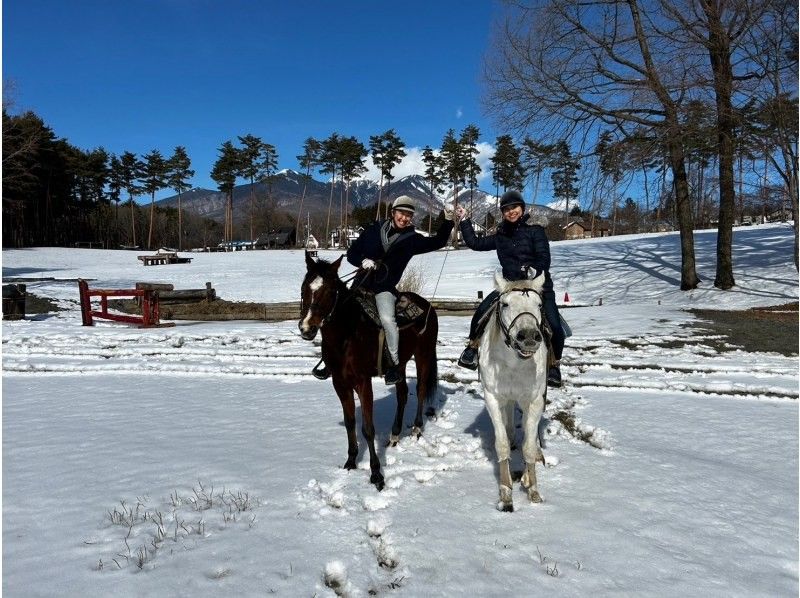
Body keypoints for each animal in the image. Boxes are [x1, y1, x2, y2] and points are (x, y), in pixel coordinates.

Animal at [298, 253, 440, 492]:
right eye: (304, 288)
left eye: (329, 290)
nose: (307, 328)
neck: (347, 335)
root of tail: (426, 304)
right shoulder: (340, 384)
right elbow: (349, 422)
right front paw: (350, 462)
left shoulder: (363, 382)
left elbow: (368, 428)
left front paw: (376, 475)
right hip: (400, 364)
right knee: (402, 393)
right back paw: (394, 435)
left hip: (424, 355)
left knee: (420, 389)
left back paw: (417, 429)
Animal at [478, 270, 548, 510]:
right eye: (506, 304)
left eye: (539, 304)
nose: (528, 336)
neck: (515, 363)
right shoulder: (493, 398)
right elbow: (502, 444)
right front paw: (506, 493)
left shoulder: (535, 400)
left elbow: (528, 446)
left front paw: (533, 489)